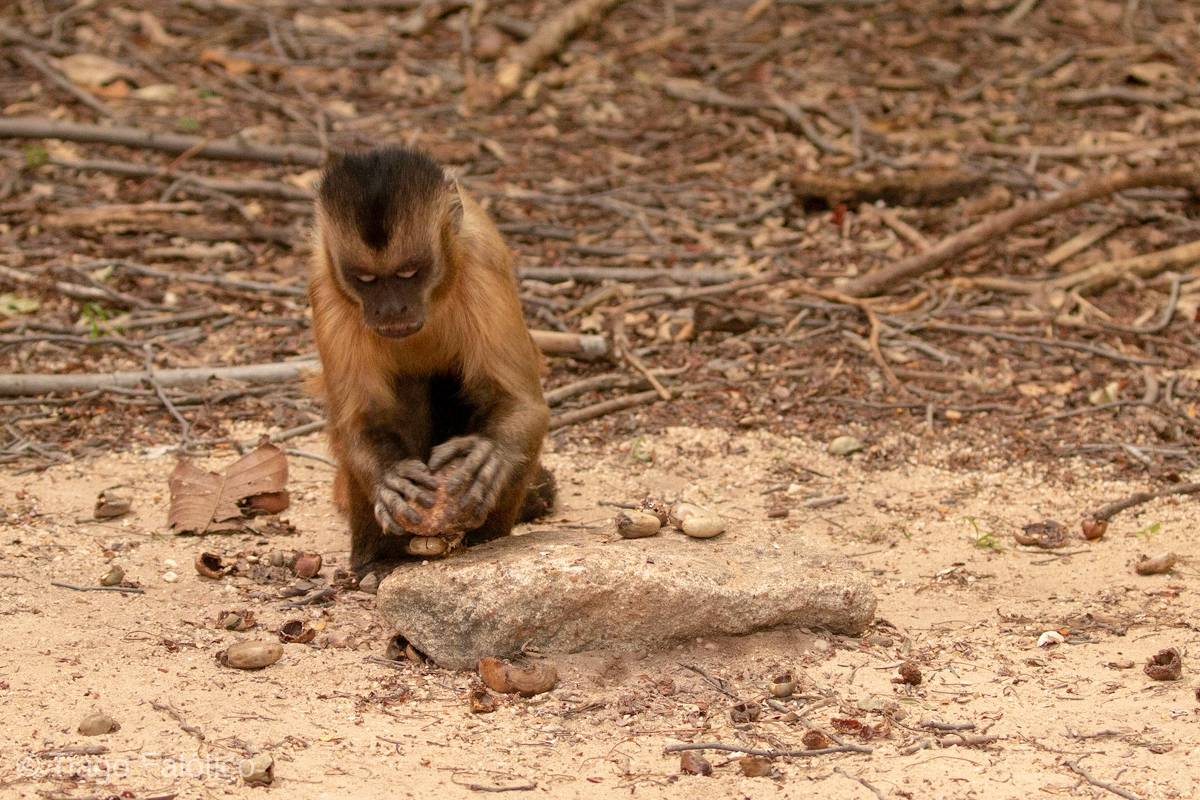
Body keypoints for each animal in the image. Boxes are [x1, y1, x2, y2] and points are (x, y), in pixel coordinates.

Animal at [309, 148, 552, 575]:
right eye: (365, 279)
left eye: (409, 271)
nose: (391, 309)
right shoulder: (328, 289)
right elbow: (360, 421)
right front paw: (389, 478)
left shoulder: (482, 267)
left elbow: (521, 404)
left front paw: (489, 454)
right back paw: (378, 561)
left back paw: (484, 541)